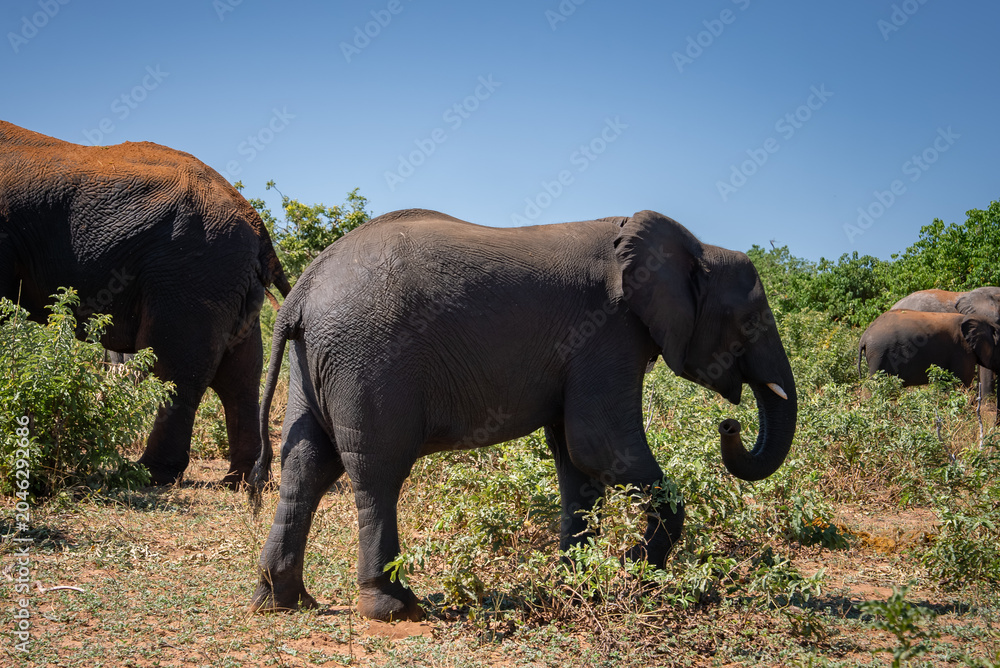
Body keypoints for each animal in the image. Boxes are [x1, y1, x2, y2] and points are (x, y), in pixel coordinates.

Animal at [0, 121, 290, 486]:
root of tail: (258, 228)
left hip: (192, 272)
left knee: (176, 370)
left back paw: (148, 473)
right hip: (229, 282)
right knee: (240, 376)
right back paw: (240, 480)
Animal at [247, 208, 798, 621]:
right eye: (750, 321)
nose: (730, 424)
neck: (697, 249)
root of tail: (302, 291)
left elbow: (576, 461)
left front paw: (579, 584)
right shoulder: (609, 333)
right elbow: (601, 447)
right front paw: (639, 577)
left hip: (315, 361)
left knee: (307, 465)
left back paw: (282, 601)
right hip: (368, 357)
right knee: (377, 473)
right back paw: (395, 608)